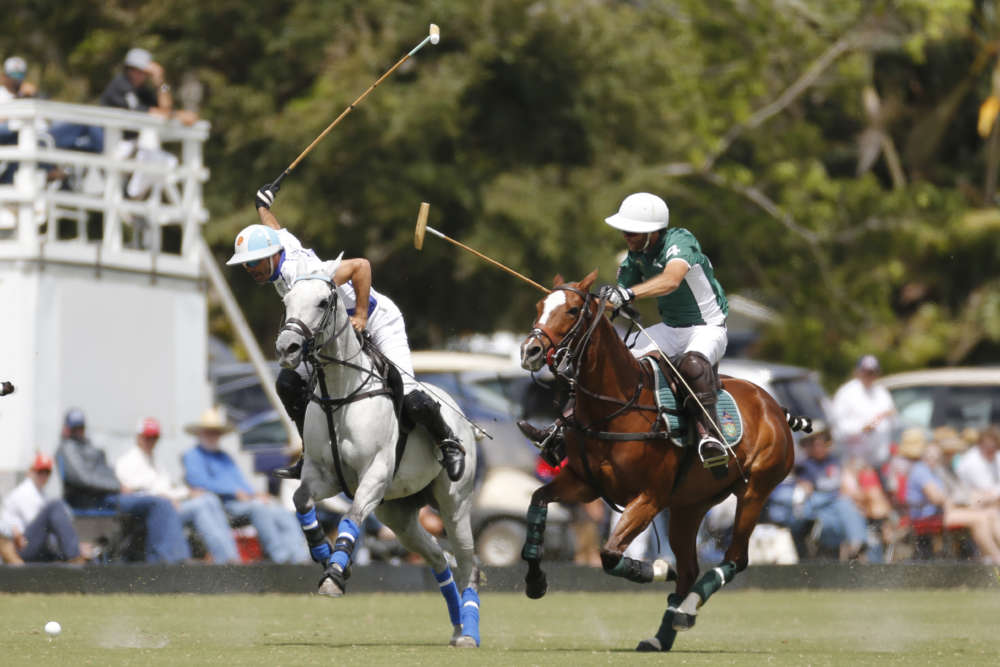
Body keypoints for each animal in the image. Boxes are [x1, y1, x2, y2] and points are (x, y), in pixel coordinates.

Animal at [272, 272, 478, 648]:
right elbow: (301, 500)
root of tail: (463, 418)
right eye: (287, 301)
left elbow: (352, 516)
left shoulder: (375, 474)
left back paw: (470, 632)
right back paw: (457, 625)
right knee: (439, 558)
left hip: (455, 503)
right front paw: (324, 556)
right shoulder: (325, 476)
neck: (340, 394)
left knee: (468, 562)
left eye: (323, 301)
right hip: (399, 514)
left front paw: (334, 575)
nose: (287, 348)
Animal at [520, 272, 800, 652]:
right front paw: (535, 582)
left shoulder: (649, 498)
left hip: (755, 489)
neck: (615, 407)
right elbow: (537, 502)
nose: (530, 351)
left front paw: (655, 570)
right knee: (690, 568)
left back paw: (686, 610)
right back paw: (662, 634)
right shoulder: (584, 483)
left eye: (573, 309)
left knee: (734, 558)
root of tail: (774, 407)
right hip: (689, 505)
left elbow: (609, 554)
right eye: (539, 306)